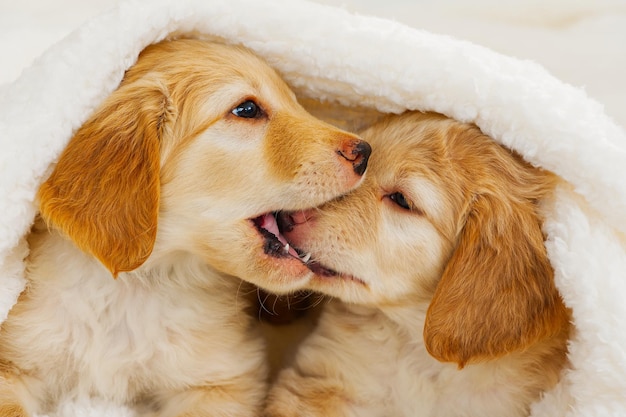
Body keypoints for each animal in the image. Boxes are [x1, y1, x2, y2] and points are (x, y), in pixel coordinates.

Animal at [0, 37, 370, 414]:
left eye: (297, 103)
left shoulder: (222, 381)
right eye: (247, 109)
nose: (365, 151)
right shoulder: (13, 359)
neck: (136, 286)